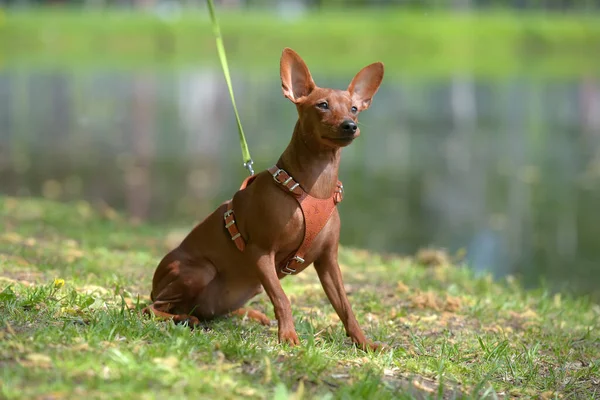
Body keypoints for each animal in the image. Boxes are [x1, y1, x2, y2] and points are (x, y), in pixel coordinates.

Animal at [143, 47, 382, 350]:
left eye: (354, 109)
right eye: (322, 105)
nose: (350, 126)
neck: (313, 187)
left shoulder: (328, 262)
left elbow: (346, 308)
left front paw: (364, 342)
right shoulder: (261, 253)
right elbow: (282, 298)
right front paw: (288, 336)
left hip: (243, 289)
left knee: (210, 309)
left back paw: (249, 314)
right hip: (199, 272)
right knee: (152, 307)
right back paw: (183, 318)